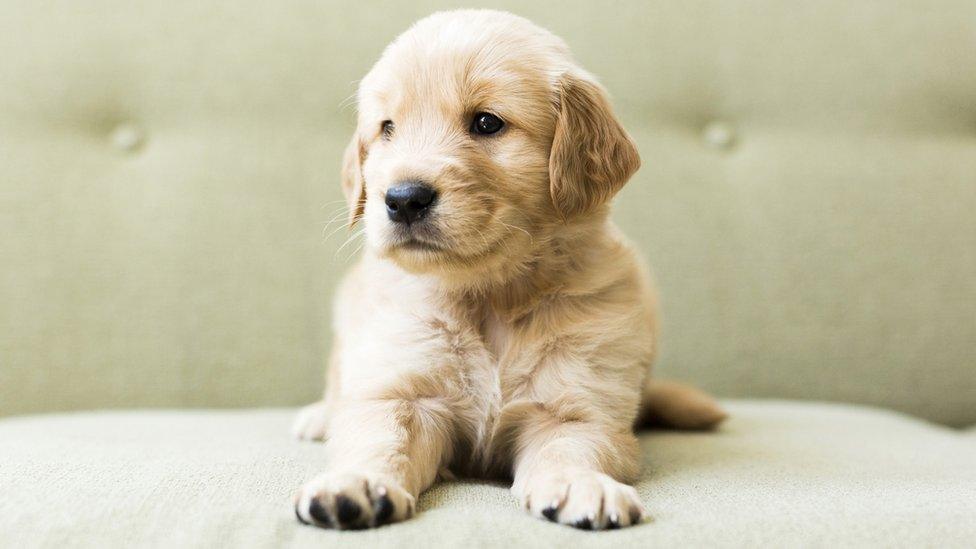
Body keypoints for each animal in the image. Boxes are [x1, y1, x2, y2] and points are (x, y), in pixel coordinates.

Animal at [292, 9, 724, 532]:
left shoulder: (575, 405)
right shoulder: (403, 389)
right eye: (387, 128)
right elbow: (379, 436)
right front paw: (353, 483)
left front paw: (581, 484)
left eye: (486, 122)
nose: (403, 199)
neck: (489, 295)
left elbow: (570, 446)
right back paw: (320, 416)